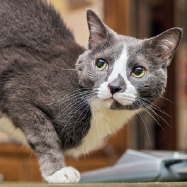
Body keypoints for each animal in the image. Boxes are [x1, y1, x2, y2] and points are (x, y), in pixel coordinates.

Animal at [0, 0, 182, 183]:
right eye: (100, 63)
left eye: (138, 71)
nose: (114, 86)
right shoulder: (18, 92)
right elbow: (45, 137)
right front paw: (57, 172)